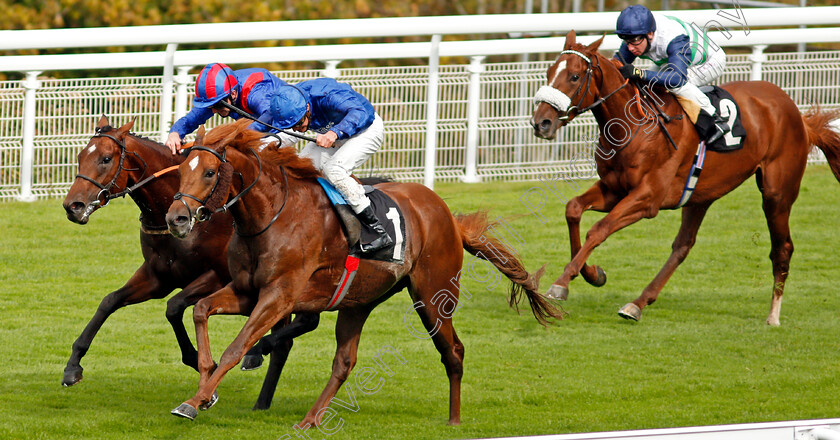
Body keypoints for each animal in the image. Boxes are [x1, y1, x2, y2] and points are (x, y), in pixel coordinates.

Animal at [60, 116, 314, 410]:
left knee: (295, 330)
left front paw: (203, 371)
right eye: (80, 156)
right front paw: (73, 367)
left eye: (105, 158)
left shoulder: (217, 276)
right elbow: (109, 301)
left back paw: (257, 360)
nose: (73, 206)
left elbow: (174, 307)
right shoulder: (158, 277)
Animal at [162, 118, 564, 424]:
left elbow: (237, 346)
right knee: (345, 361)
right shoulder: (248, 292)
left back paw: (453, 419)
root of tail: (449, 217)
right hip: (359, 301)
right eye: (180, 171)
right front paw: (205, 385)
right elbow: (201, 311)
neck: (271, 216)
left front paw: (194, 401)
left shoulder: (279, 296)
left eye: (210, 172)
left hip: (434, 297)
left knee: (453, 350)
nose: (176, 219)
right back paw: (310, 420)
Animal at [528, 31, 840, 324]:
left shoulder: (647, 199)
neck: (633, 126)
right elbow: (573, 209)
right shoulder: (614, 189)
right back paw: (637, 304)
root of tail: (798, 116)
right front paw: (593, 274)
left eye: (574, 76)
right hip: (700, 195)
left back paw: (773, 315)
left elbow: (599, 229)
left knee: (782, 248)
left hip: (777, 194)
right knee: (683, 246)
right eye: (549, 72)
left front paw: (562, 282)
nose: (540, 123)